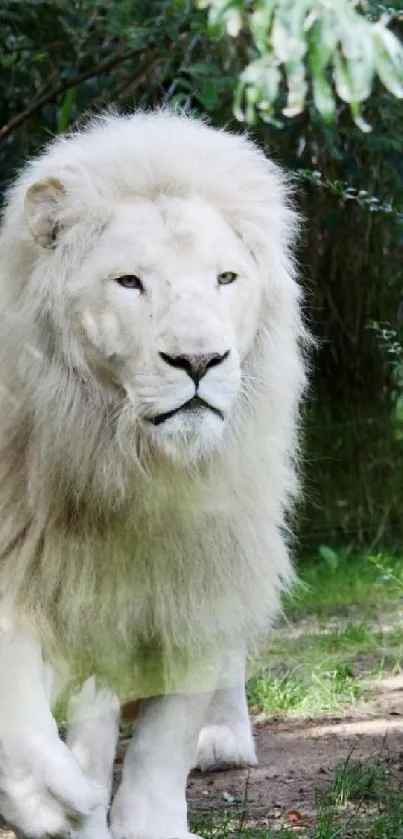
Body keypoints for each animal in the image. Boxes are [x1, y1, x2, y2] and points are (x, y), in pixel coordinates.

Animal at [0, 111, 306, 839]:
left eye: (225, 277)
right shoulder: (25, 546)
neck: (131, 465)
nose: (198, 360)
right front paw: (45, 797)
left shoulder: (198, 572)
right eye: (130, 282)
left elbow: (166, 736)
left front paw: (148, 822)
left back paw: (222, 742)